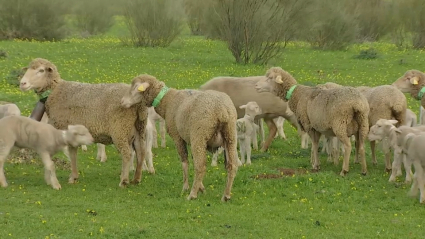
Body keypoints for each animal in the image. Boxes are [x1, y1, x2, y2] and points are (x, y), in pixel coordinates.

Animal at [19, 58, 149, 187]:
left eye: (41, 70)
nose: (22, 83)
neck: (56, 91)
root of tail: (138, 103)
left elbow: (70, 154)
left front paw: (68, 177)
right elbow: (73, 153)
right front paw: (74, 177)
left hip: (120, 129)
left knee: (127, 153)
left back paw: (124, 180)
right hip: (139, 127)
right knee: (141, 152)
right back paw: (136, 179)